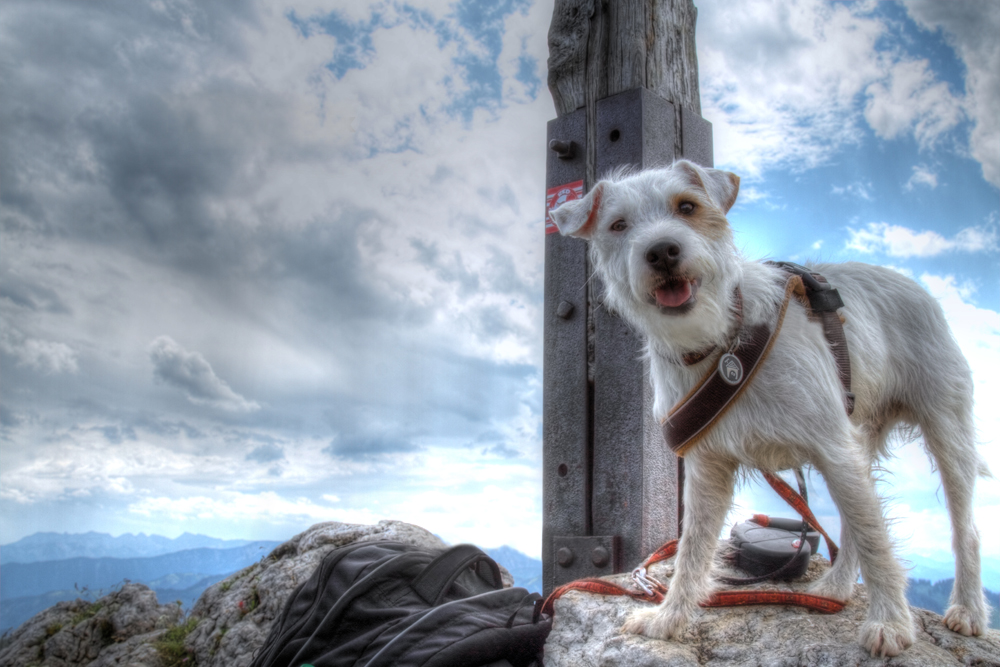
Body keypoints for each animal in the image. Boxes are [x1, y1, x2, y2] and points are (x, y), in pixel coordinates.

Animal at [552, 160, 988, 656]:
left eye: (688, 207)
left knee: (959, 528)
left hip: (944, 430)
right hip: (859, 441)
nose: (662, 251)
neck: (722, 340)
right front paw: (670, 617)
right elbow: (693, 547)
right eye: (618, 225)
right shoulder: (708, 467)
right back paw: (836, 588)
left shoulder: (833, 448)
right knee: (857, 520)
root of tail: (914, 285)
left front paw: (891, 623)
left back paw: (968, 609)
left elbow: (877, 540)